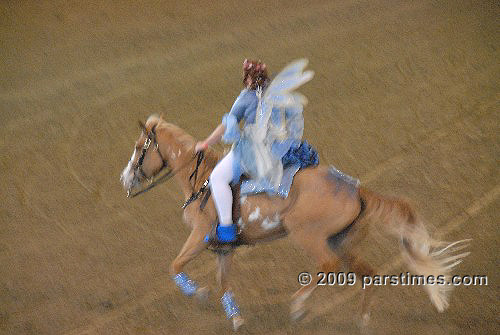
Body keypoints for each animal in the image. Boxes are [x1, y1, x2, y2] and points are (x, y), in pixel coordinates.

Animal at [120, 116, 468, 334]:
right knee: (369, 274)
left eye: (139, 148)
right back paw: (362, 321)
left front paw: (199, 294)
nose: (124, 178)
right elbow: (224, 282)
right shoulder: (223, 250)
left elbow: (175, 266)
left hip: (308, 235)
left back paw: (299, 306)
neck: (202, 180)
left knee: (328, 266)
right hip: (343, 241)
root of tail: (355, 188)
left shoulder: (200, 236)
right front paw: (236, 319)